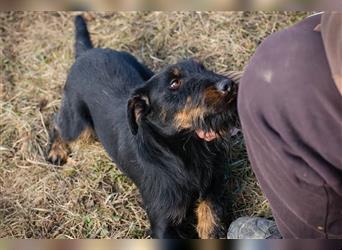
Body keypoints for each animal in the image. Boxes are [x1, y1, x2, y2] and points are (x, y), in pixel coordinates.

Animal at [46, 15, 236, 238]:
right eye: (174, 83)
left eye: (203, 68)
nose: (228, 85)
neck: (186, 148)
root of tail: (86, 52)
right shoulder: (162, 222)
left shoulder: (212, 188)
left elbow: (210, 217)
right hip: (78, 126)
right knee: (57, 123)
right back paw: (56, 151)